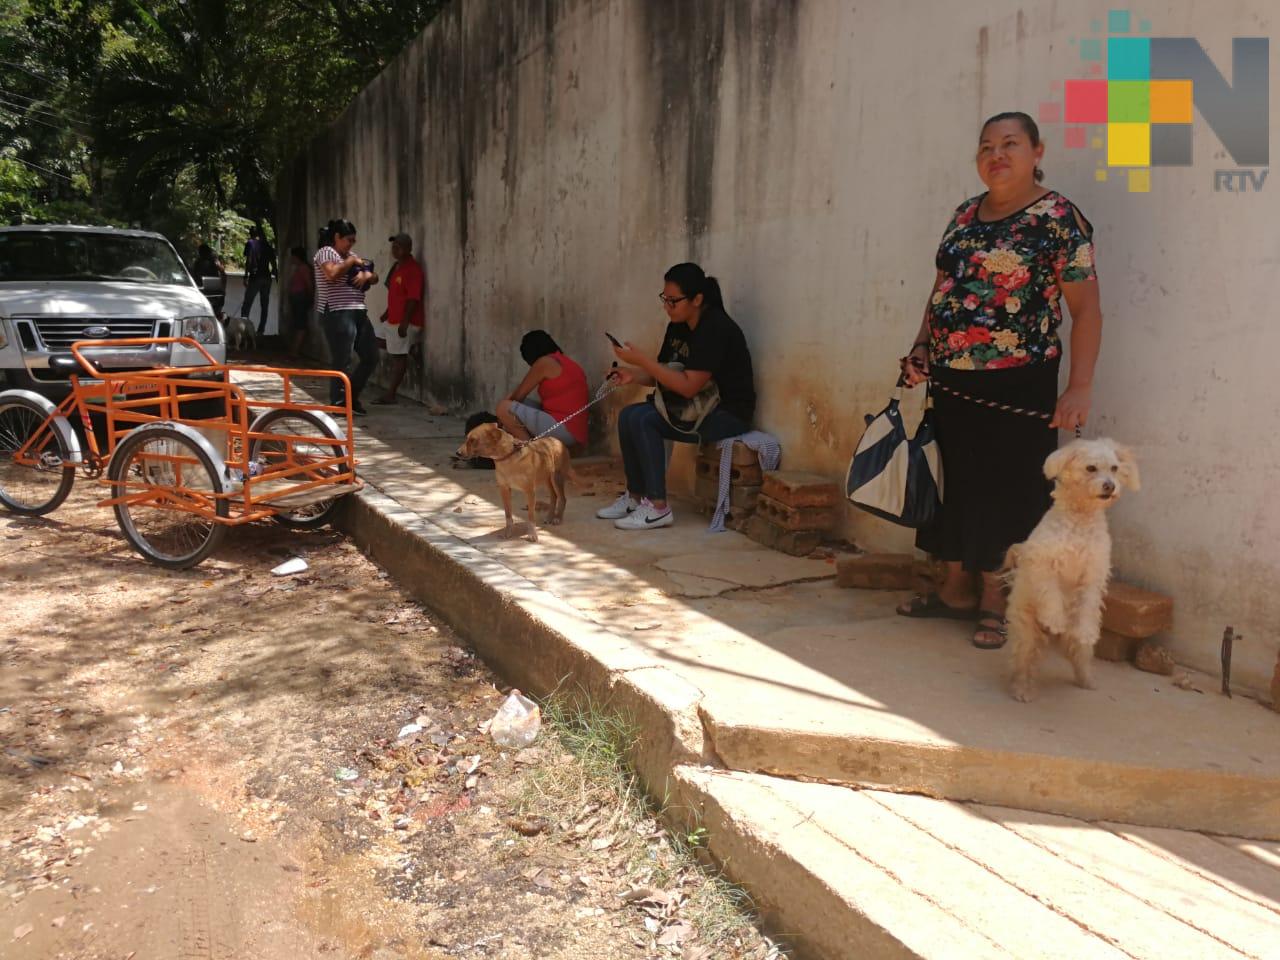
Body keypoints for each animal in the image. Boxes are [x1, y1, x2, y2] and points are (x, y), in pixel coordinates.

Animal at [1008, 440, 1141, 701]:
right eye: (1091, 468)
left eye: (1114, 468)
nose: (1110, 486)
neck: (1081, 517)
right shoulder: (1044, 566)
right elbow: (1051, 596)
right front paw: (1055, 619)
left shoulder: (1093, 575)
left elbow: (1088, 604)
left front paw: (1087, 630)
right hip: (1026, 631)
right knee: (1023, 660)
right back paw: (1021, 688)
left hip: (1077, 644)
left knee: (1079, 656)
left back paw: (1086, 680)